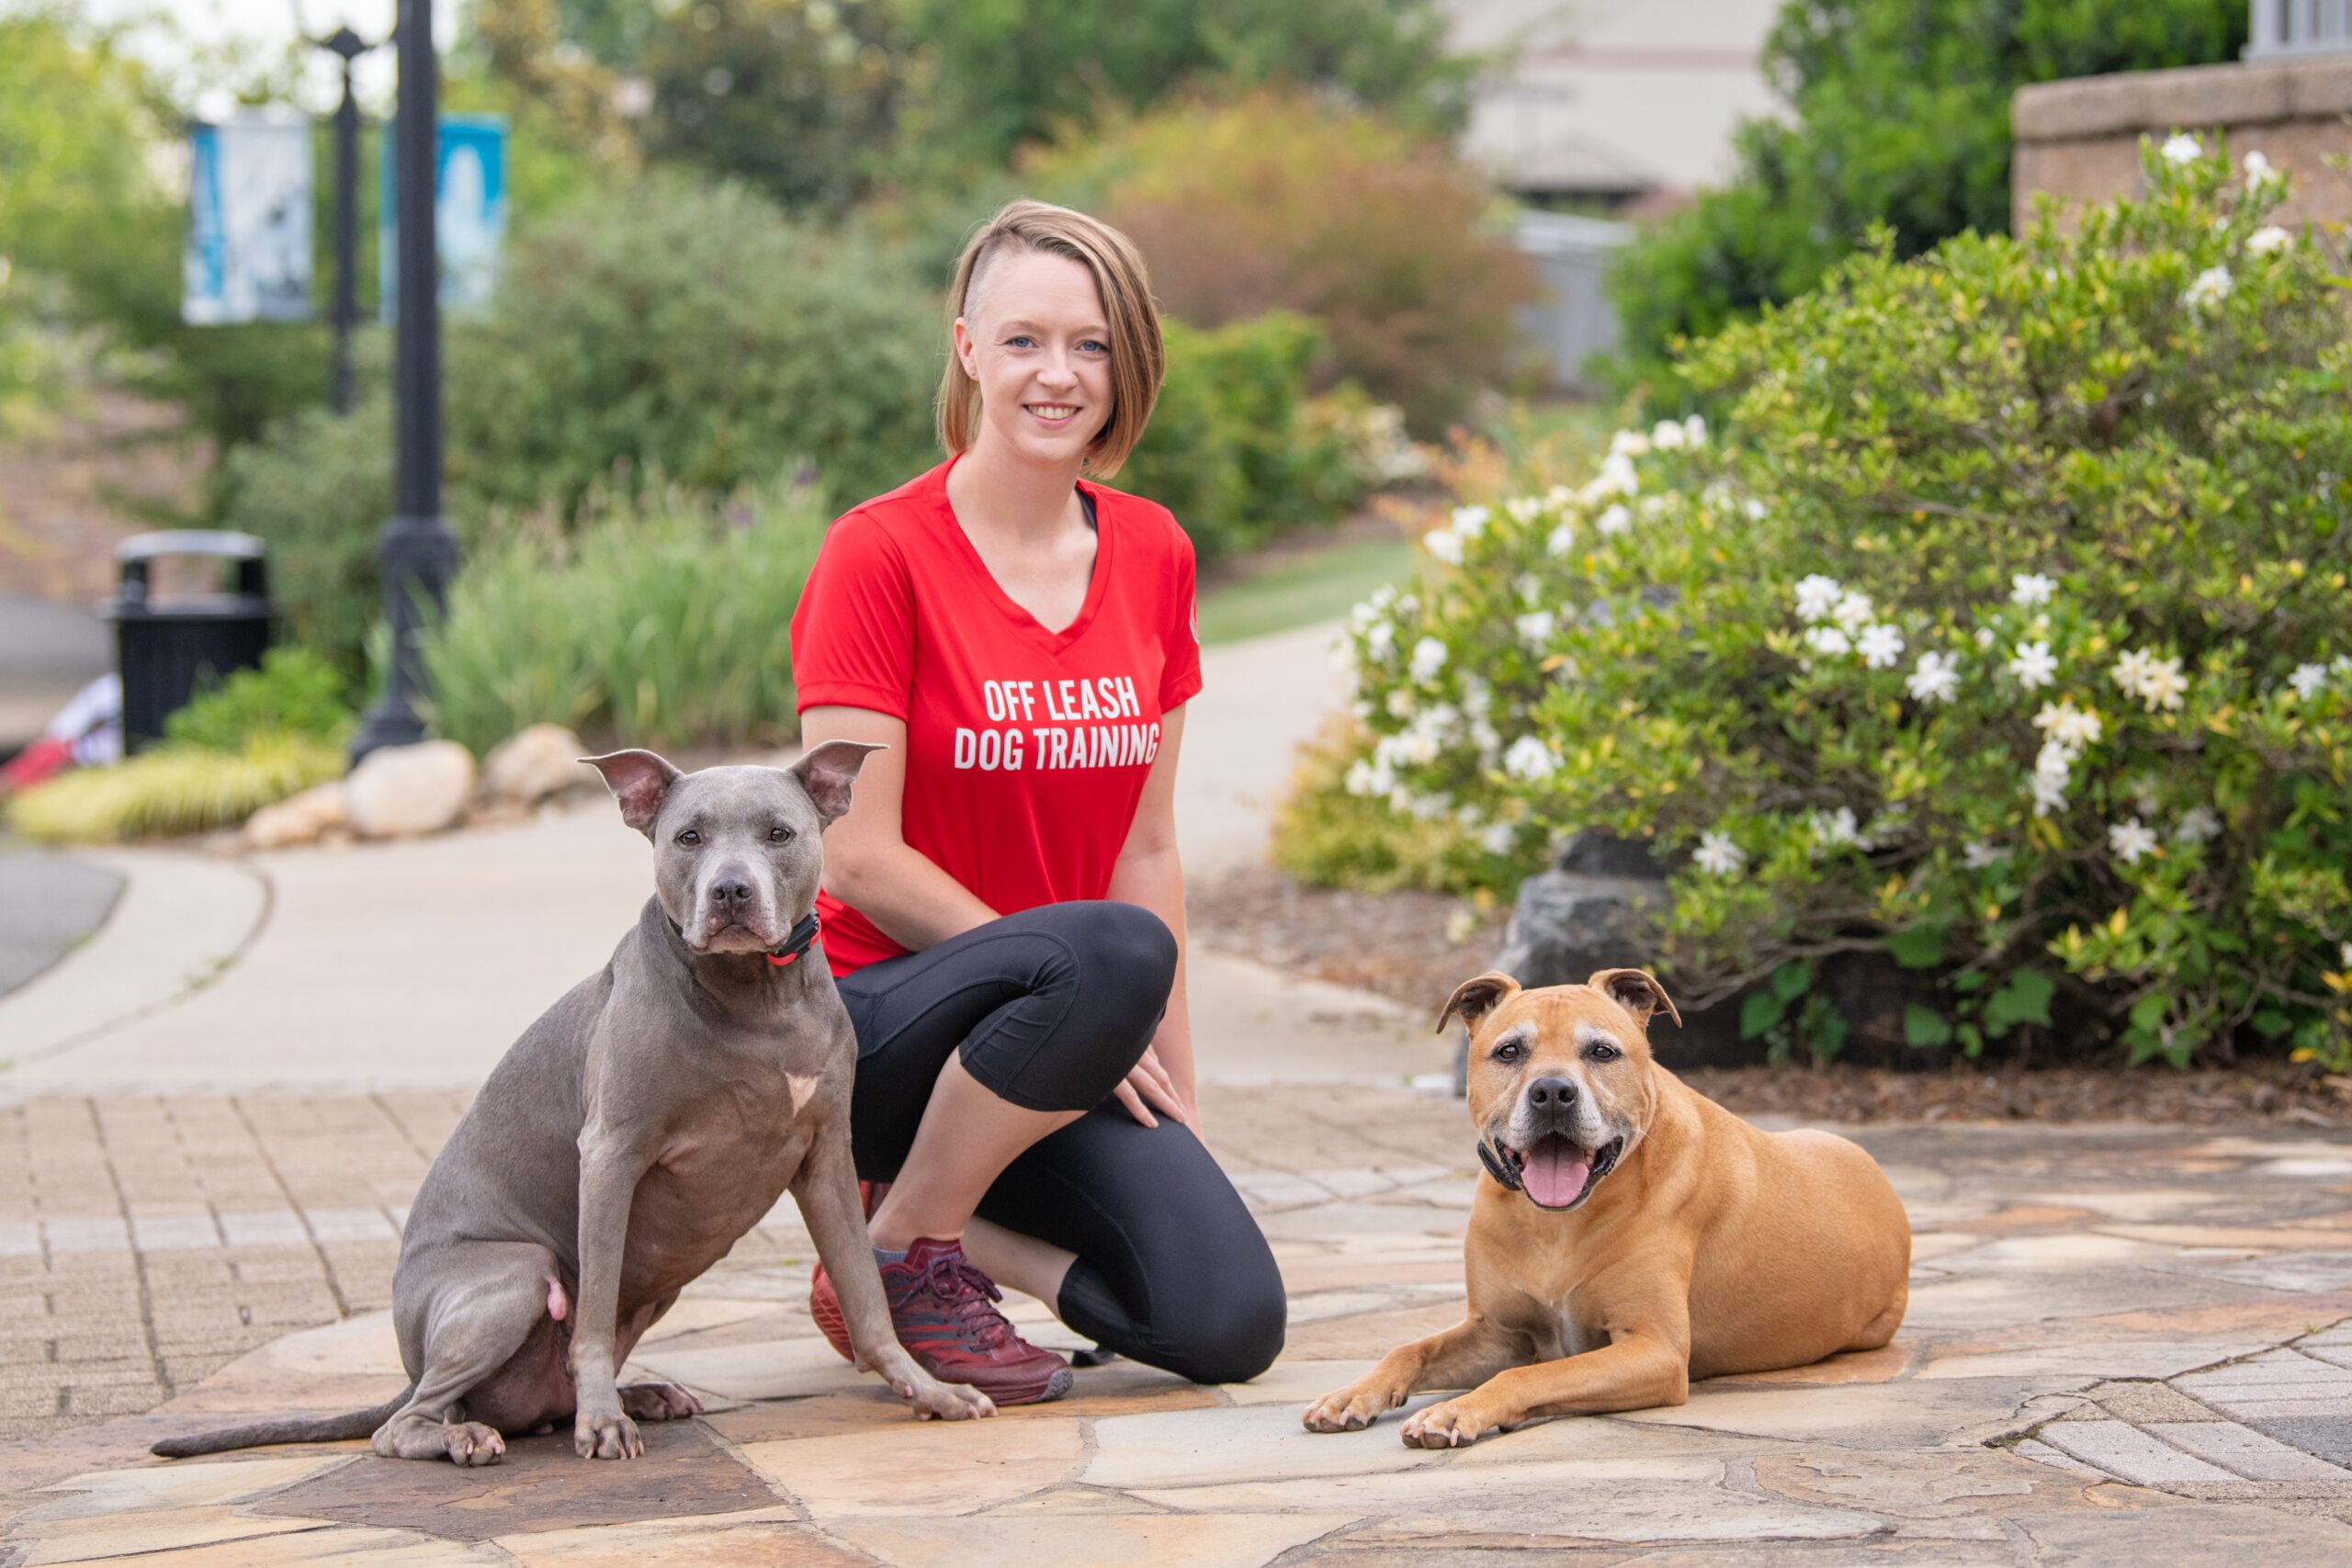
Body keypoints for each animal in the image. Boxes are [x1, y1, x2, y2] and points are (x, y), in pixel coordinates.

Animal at [153, 742, 983, 1466]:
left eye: (780, 832)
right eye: (688, 836)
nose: (730, 890)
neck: (755, 996)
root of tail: (411, 1360)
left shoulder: (826, 1162)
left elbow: (867, 1296)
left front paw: (929, 1391)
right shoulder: (611, 1153)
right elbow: (590, 1313)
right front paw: (602, 1426)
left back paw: (636, 1393)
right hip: (515, 1275)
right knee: (406, 1421)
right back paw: (473, 1434)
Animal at [1307, 968, 1909, 1448]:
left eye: (1601, 1051)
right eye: (1509, 1051)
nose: (1553, 1092)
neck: (1556, 1223)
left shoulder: (1655, 1351)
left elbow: (1529, 1377)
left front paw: (1460, 1410)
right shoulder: (1499, 1331)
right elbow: (1409, 1348)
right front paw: (1353, 1394)